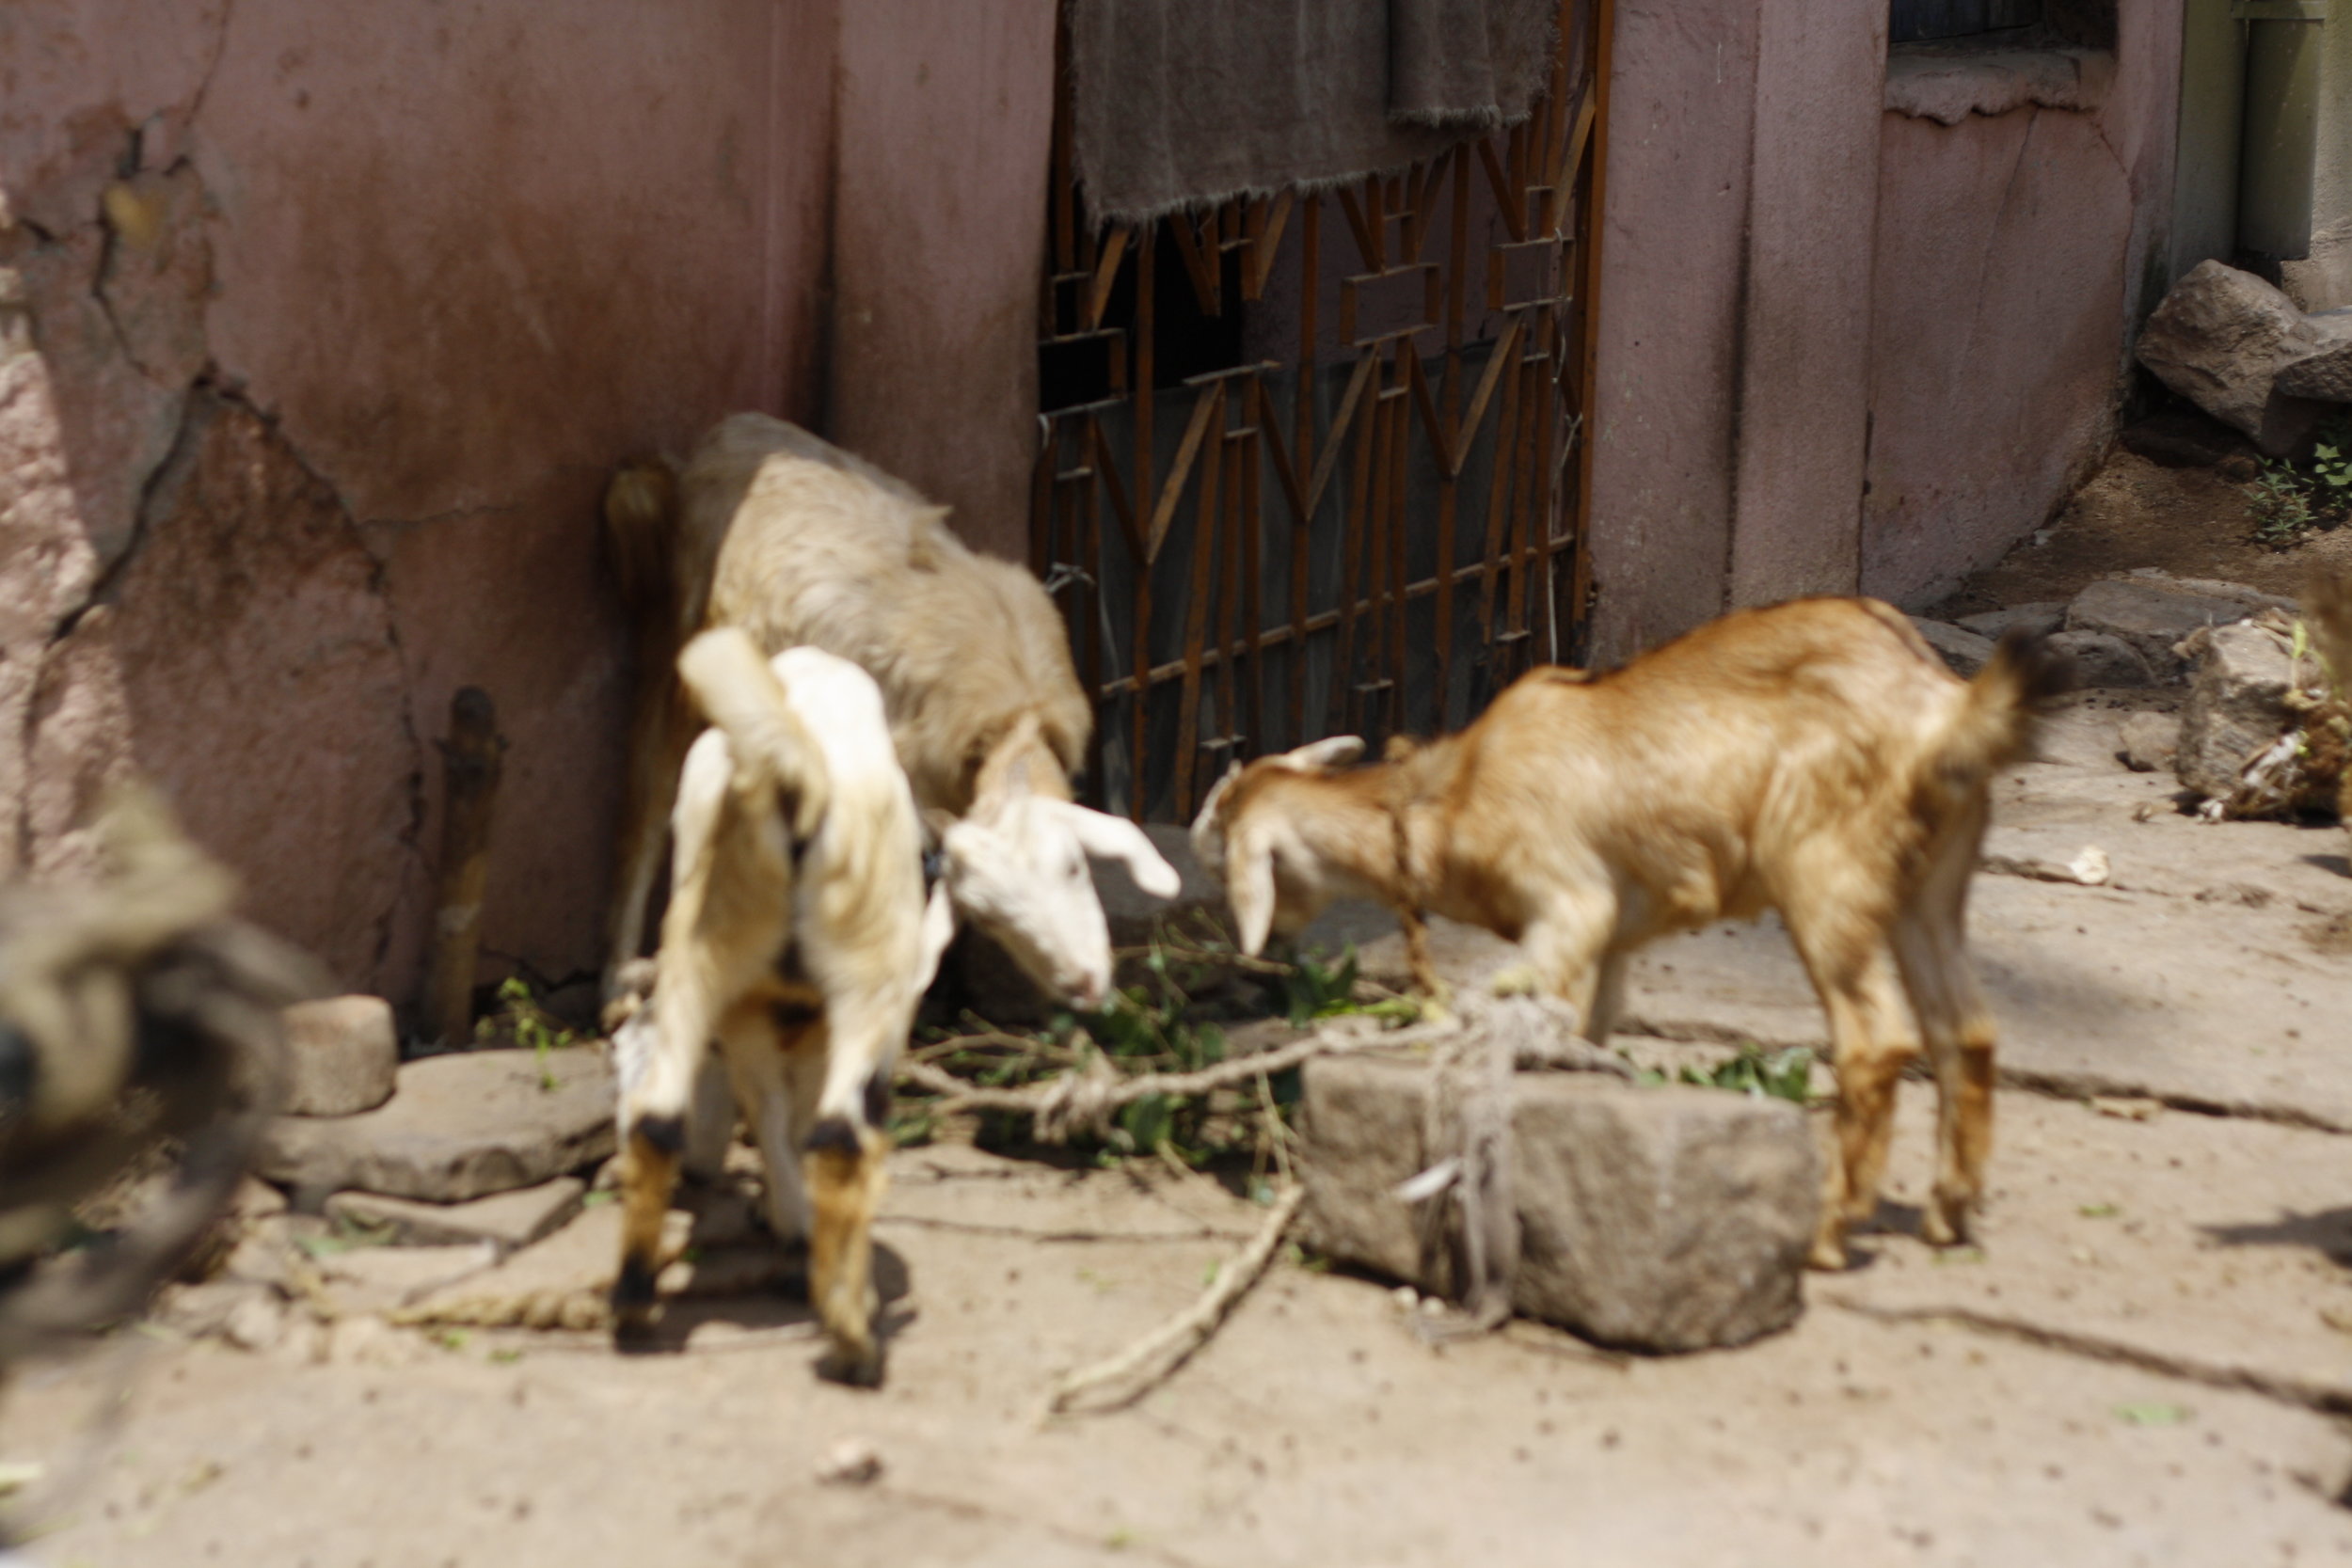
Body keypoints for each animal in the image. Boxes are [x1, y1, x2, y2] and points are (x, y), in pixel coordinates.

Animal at [602, 413, 1176, 1006]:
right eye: (988, 919)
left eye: (1075, 868)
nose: (1084, 983)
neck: (1013, 723)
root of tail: (710, 444)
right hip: (675, 653)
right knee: (646, 810)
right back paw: (621, 983)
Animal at [621, 625, 960, 1382]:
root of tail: (796, 776)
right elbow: (799, 1116)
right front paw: (798, 1231)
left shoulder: (752, 1012)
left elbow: (771, 1109)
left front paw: (787, 1220)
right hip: (869, 976)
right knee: (839, 1137)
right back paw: (853, 1337)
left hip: (705, 948)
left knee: (657, 1120)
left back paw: (631, 1303)